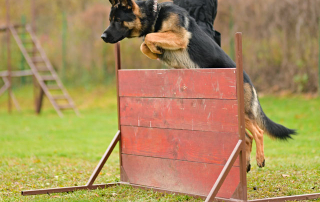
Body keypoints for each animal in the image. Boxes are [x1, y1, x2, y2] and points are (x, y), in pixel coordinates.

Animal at [101, 0, 296, 172]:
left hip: (241, 112)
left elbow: (148, 38)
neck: (155, 15)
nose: (103, 37)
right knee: (247, 138)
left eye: (117, 20)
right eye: (110, 19)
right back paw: (246, 164)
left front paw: (155, 47)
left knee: (259, 132)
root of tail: (246, 79)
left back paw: (260, 159)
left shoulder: (180, 37)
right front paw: (155, 50)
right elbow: (144, 45)